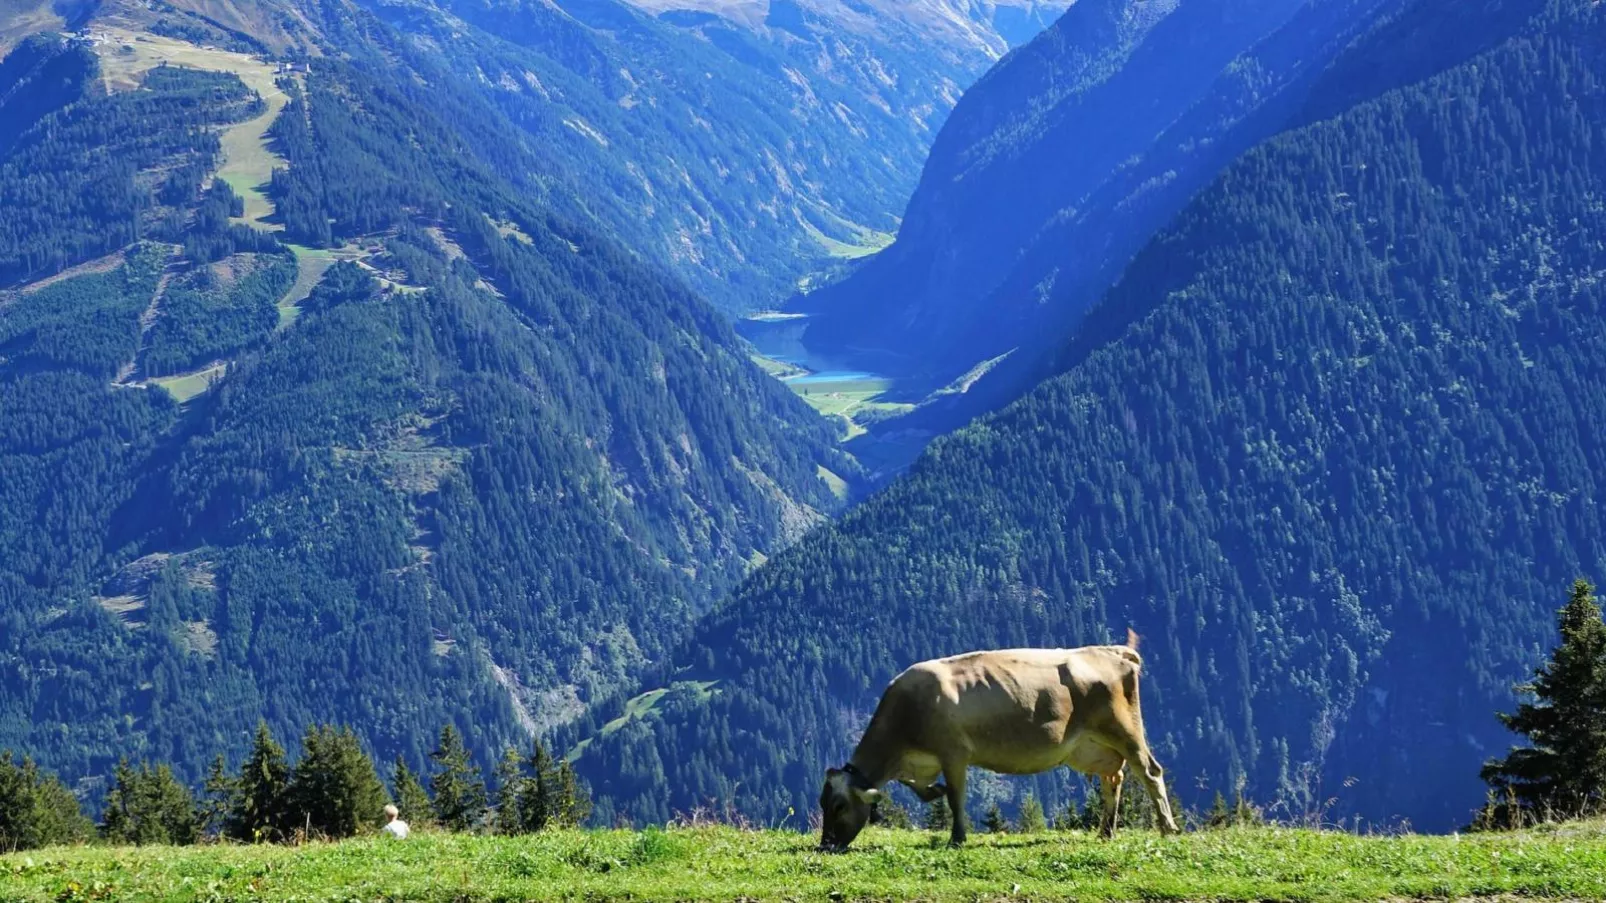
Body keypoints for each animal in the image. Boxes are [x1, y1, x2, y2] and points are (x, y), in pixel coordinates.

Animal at [815, 629, 1182, 848]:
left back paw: (1167, 827)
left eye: (839, 806)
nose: (825, 845)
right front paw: (932, 792)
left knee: (1149, 772)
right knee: (1113, 779)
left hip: (1124, 730)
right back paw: (1106, 831)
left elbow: (956, 798)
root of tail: (1112, 651)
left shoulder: (954, 753)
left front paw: (957, 838)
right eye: (821, 803)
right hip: (1090, 747)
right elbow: (924, 790)